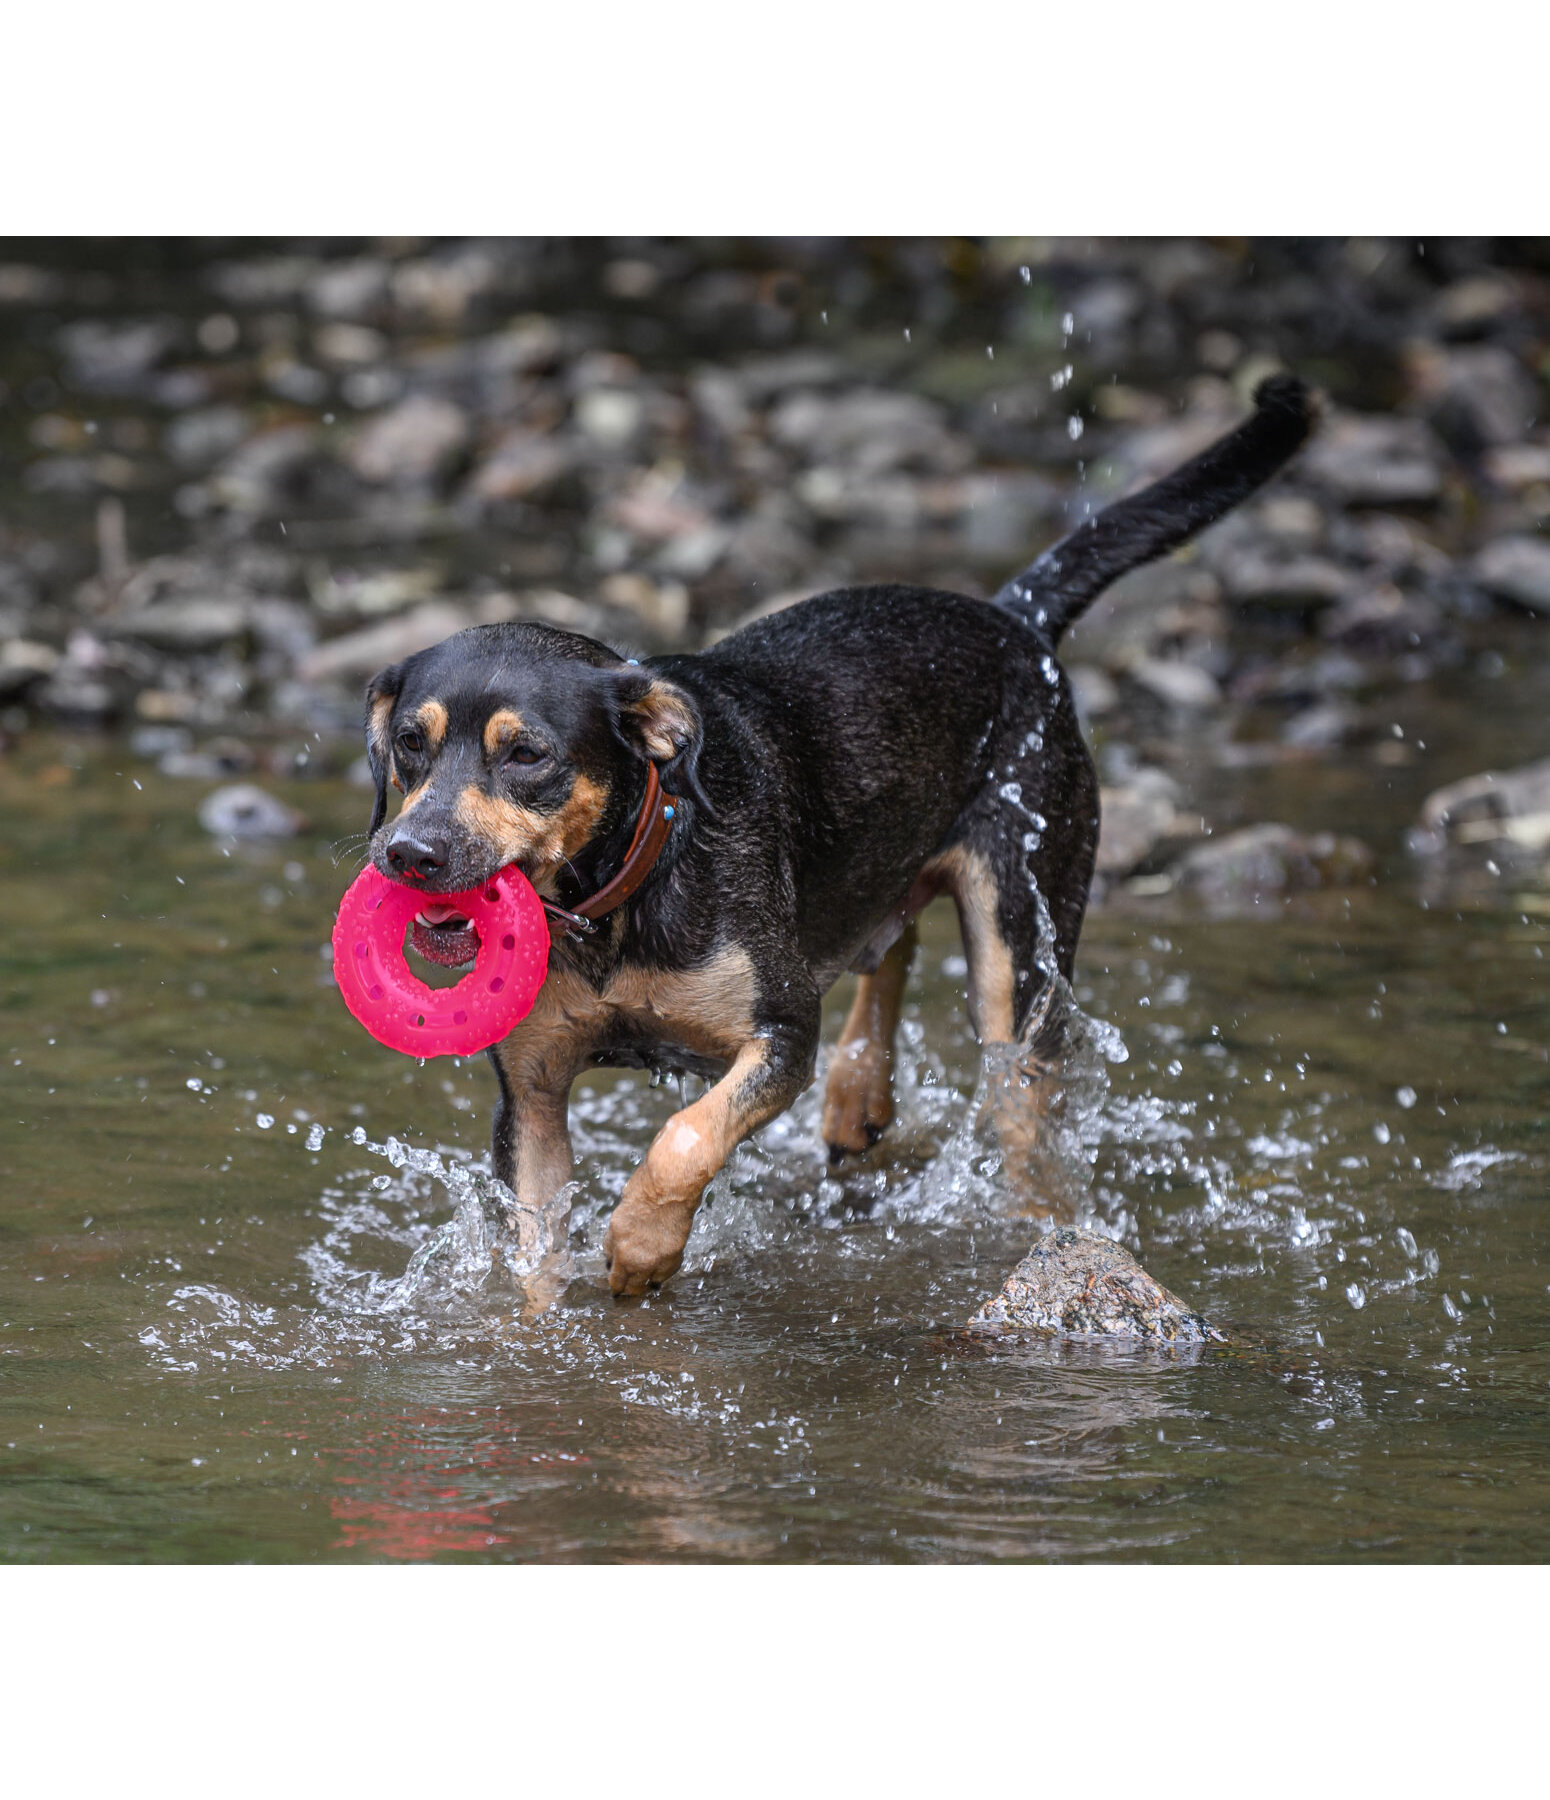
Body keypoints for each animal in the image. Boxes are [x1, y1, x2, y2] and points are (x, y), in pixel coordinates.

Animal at [365, 372, 1317, 1296]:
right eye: (408, 742)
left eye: (526, 754)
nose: (407, 853)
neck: (618, 895)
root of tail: (1015, 622)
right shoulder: (530, 1092)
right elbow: (534, 1258)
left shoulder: (782, 1031)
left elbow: (688, 1134)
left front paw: (642, 1243)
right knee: (888, 934)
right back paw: (859, 1095)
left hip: (1022, 933)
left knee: (1020, 1102)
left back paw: (1040, 1229)